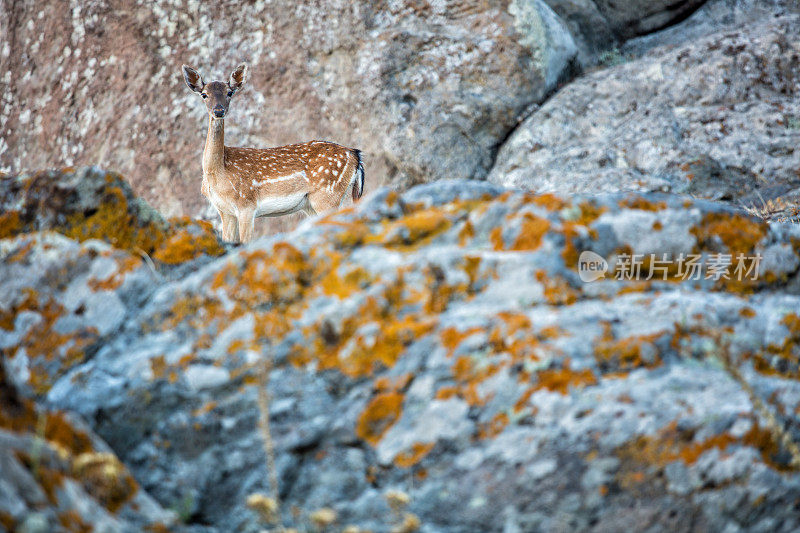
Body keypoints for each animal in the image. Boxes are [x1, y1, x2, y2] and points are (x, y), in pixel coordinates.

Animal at [181, 62, 366, 243]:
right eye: (204, 94)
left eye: (230, 92)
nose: (219, 111)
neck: (218, 173)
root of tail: (355, 155)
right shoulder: (224, 211)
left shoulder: (246, 204)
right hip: (312, 204)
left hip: (328, 194)